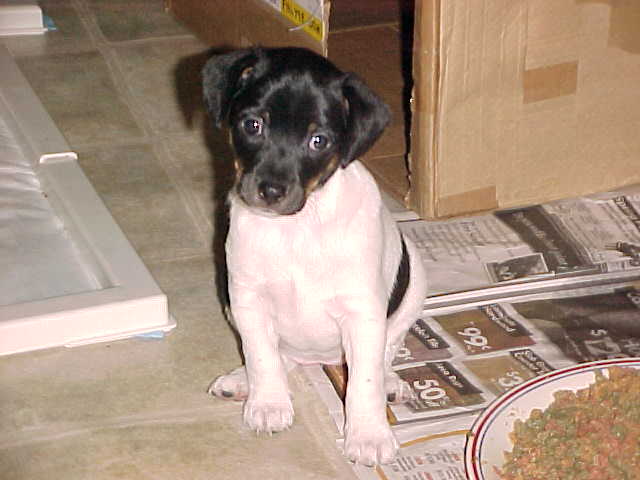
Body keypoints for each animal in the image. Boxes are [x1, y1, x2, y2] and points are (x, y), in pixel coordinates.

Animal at [202, 47, 428, 464]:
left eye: (318, 140)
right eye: (253, 125)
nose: (271, 190)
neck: (298, 229)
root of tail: (319, 358)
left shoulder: (363, 313)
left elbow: (364, 381)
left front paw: (368, 434)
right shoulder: (248, 297)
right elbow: (261, 354)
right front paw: (269, 403)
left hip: (414, 286)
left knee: (385, 353)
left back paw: (389, 382)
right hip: (229, 298)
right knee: (280, 355)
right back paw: (244, 381)